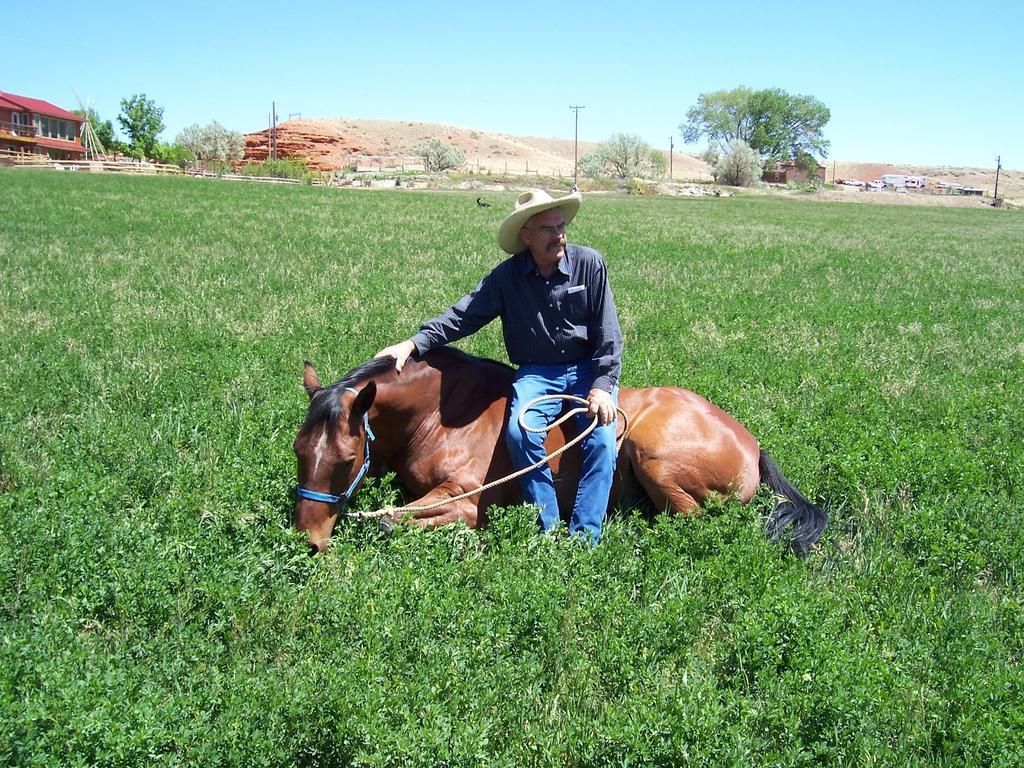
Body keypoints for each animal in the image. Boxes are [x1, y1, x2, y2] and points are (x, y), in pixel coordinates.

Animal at [292, 352, 827, 557]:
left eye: (345, 460)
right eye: (300, 450)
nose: (307, 540)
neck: (441, 415)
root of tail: (752, 445)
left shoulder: (465, 501)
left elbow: (389, 522)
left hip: (653, 454)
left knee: (687, 520)